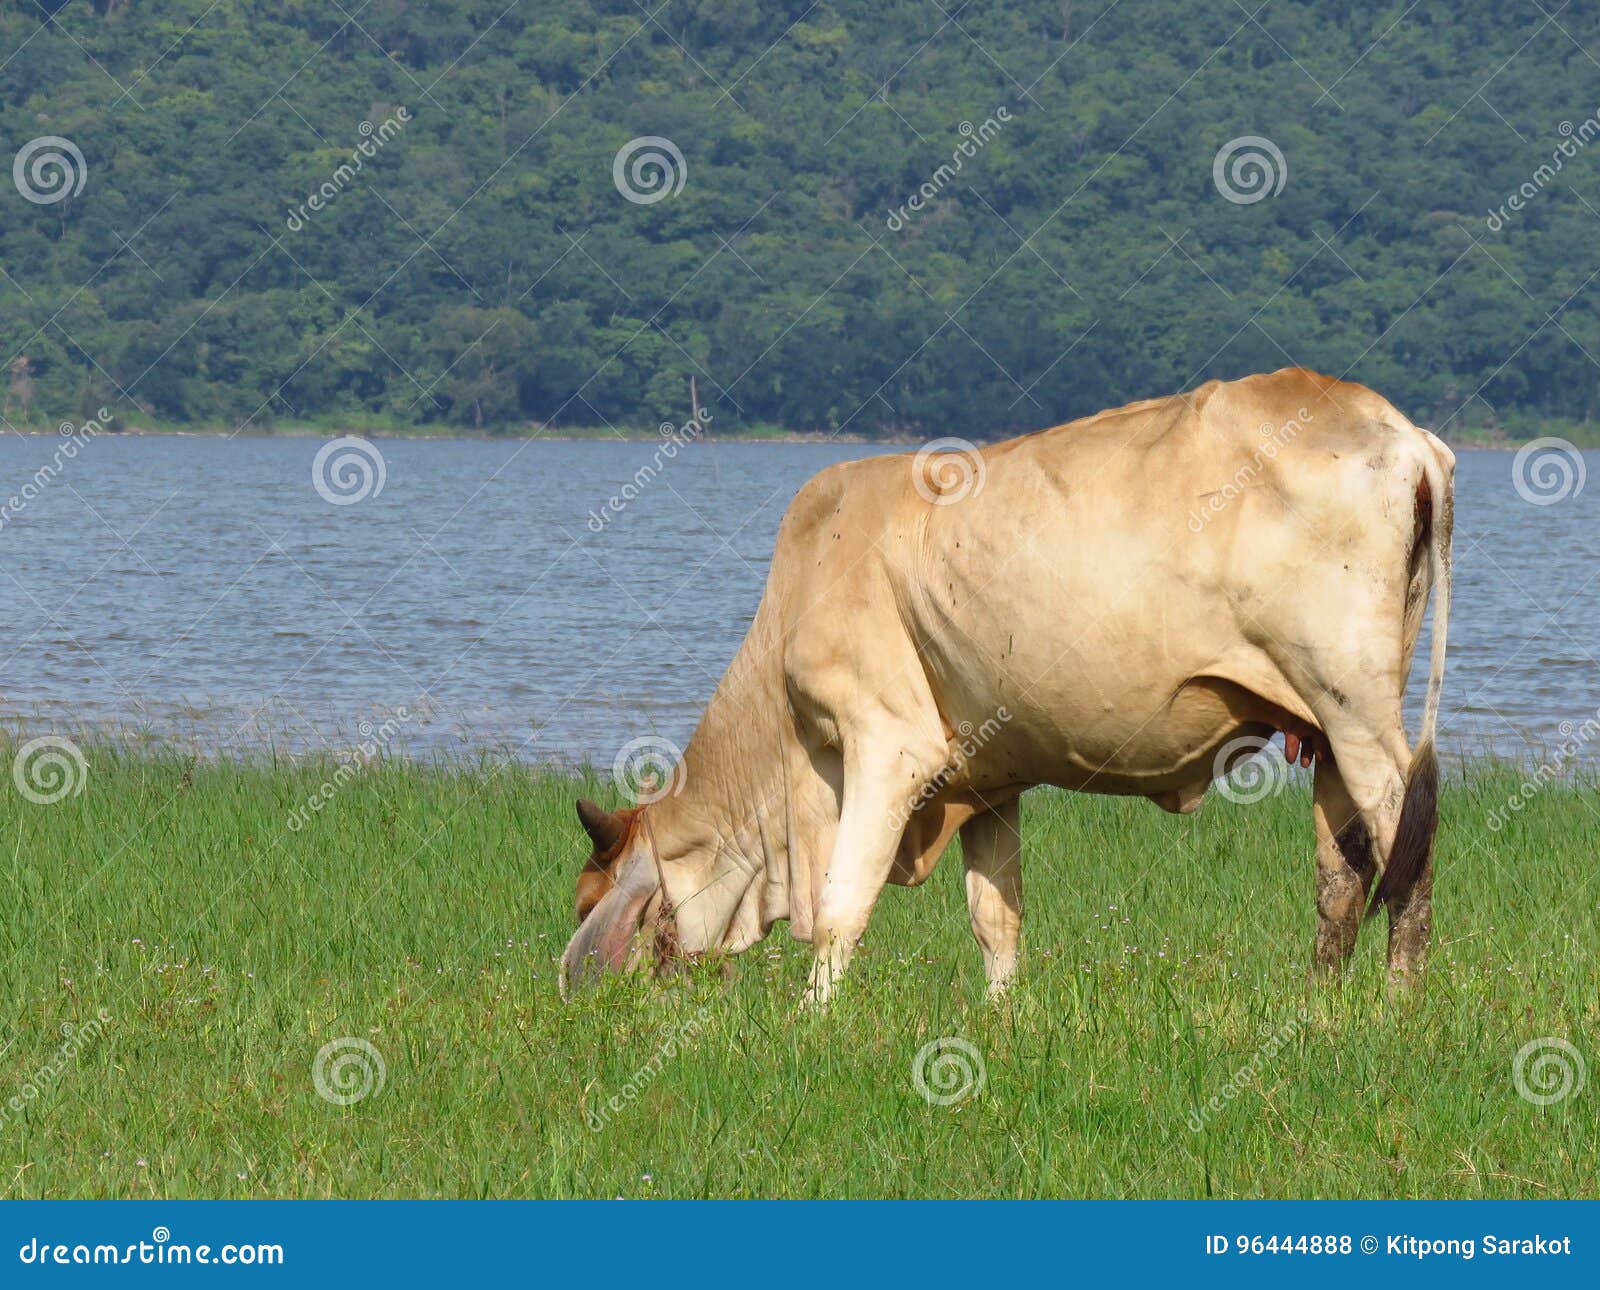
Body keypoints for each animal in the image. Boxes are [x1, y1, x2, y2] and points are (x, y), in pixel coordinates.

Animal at [561, 368, 1454, 1004]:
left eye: (582, 903)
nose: (581, 998)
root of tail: (1401, 431)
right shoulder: (988, 782)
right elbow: (997, 918)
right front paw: (1001, 1020)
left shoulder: (887, 745)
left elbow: (843, 908)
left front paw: (809, 1025)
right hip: (1325, 727)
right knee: (1342, 877)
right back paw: (1318, 1009)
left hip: (1355, 707)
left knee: (1407, 850)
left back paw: (1396, 1009)